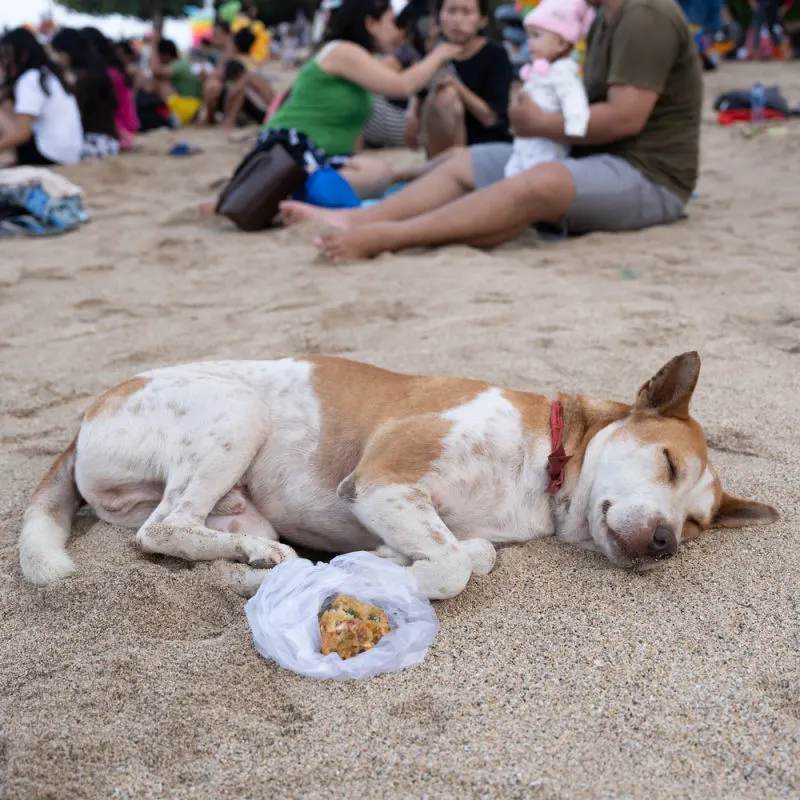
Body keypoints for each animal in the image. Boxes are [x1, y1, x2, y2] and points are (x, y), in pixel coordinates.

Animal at [18, 354, 780, 596]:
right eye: (668, 462)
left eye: (696, 524)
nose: (666, 544)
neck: (545, 464)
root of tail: (86, 417)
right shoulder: (382, 480)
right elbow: (454, 566)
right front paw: (395, 573)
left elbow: (471, 554)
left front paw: (385, 559)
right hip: (237, 409)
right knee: (160, 530)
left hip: (238, 498)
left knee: (187, 528)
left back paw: (256, 559)